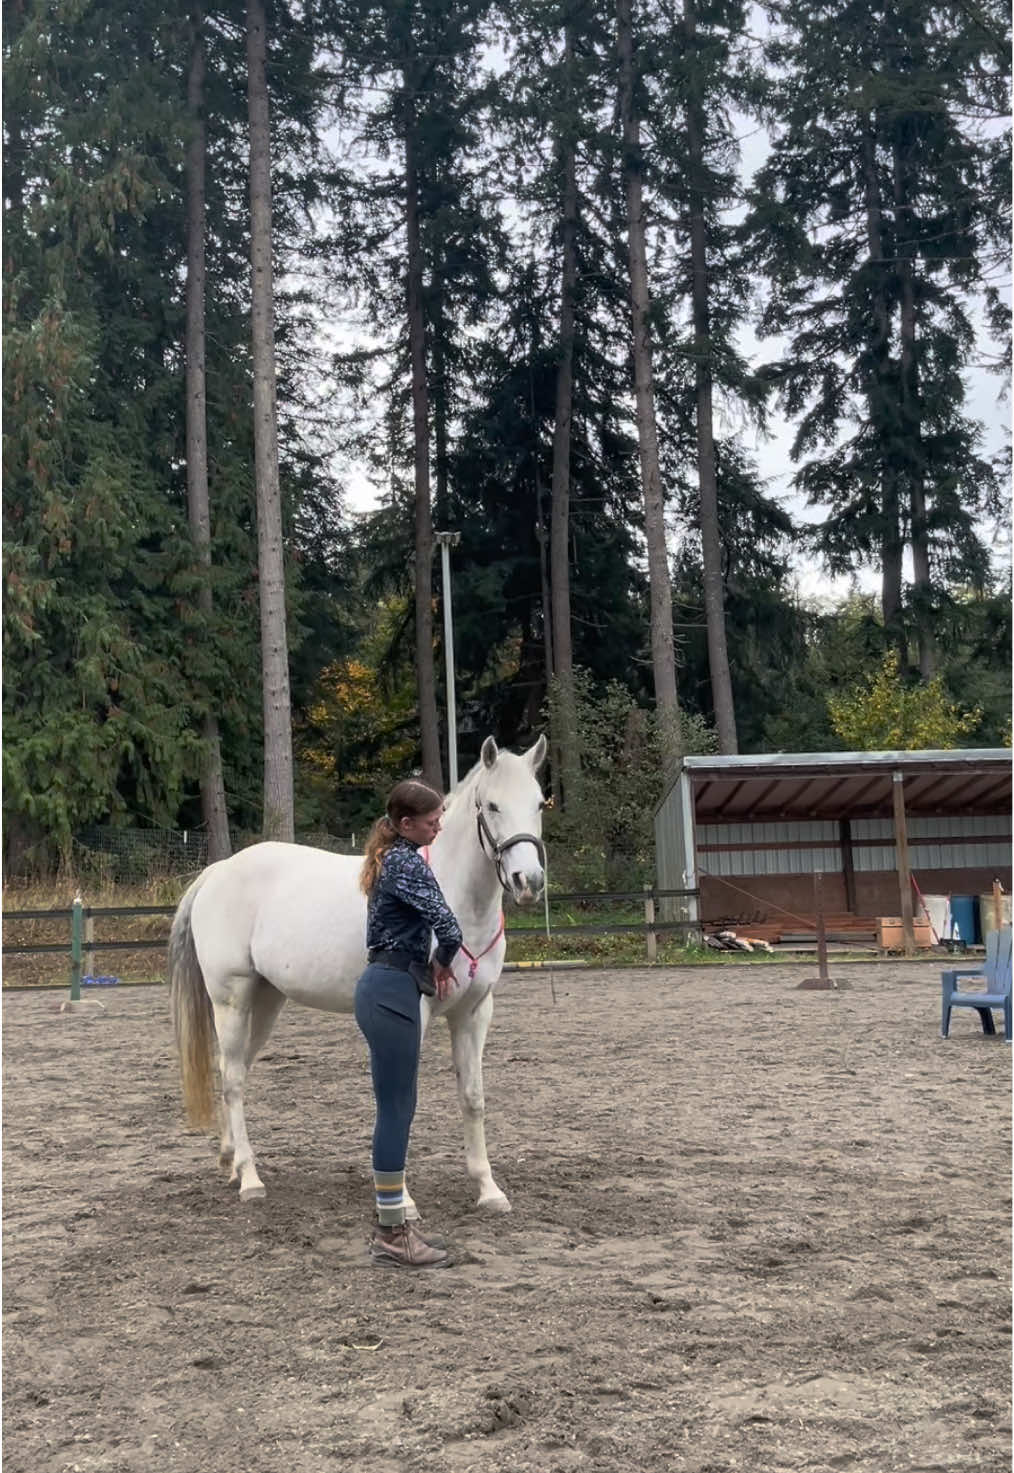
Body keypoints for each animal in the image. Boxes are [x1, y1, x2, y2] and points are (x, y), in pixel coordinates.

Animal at [168, 734, 548, 1216]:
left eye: (539, 803)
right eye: (493, 805)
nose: (528, 881)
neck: (451, 896)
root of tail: (217, 872)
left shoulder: (474, 1012)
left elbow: (473, 1098)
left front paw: (488, 1188)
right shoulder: (414, 1014)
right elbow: (402, 1099)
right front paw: (404, 1200)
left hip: (265, 1001)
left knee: (232, 1069)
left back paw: (231, 1160)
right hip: (231, 1000)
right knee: (233, 1079)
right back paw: (250, 1179)